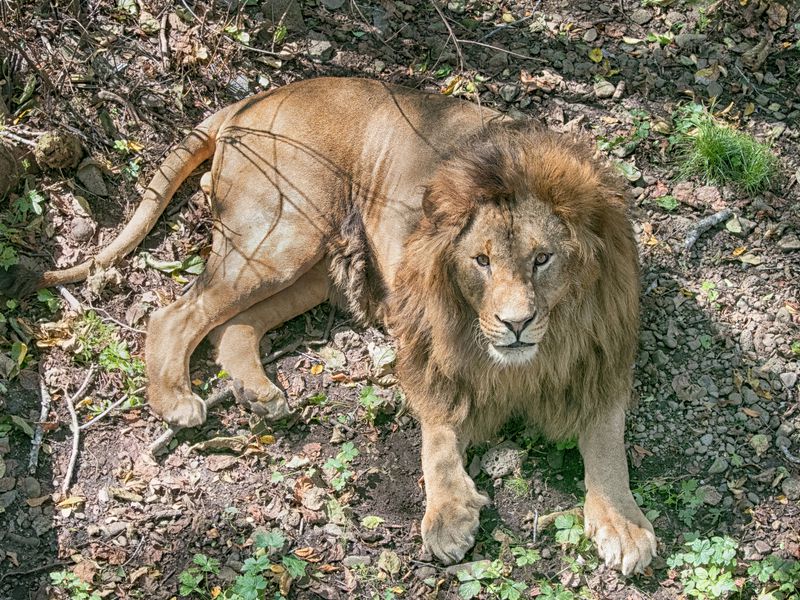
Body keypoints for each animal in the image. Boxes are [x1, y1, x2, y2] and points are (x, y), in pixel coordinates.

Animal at [10, 77, 656, 576]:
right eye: (481, 262)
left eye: (542, 259)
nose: (516, 323)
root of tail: (255, 98)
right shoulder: (431, 351)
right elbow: (439, 436)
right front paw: (447, 516)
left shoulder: (601, 361)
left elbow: (607, 447)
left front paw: (623, 525)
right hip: (280, 230)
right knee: (174, 313)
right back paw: (177, 400)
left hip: (311, 264)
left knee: (232, 327)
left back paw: (259, 394)